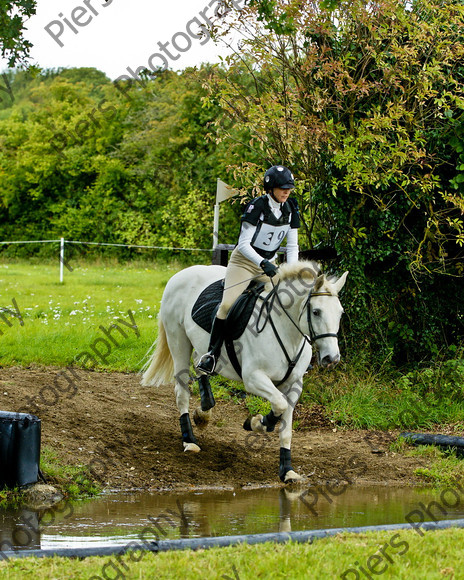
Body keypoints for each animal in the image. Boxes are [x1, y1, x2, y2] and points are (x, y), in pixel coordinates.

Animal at [141, 260, 348, 482]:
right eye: (316, 312)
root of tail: (179, 275)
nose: (332, 359)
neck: (286, 330)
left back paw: (204, 410)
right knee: (181, 392)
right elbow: (279, 404)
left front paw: (287, 470)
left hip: (199, 345)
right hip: (178, 341)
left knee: (200, 363)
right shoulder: (253, 378)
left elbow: (285, 426)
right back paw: (189, 440)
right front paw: (256, 422)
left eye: (340, 313)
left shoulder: (294, 384)